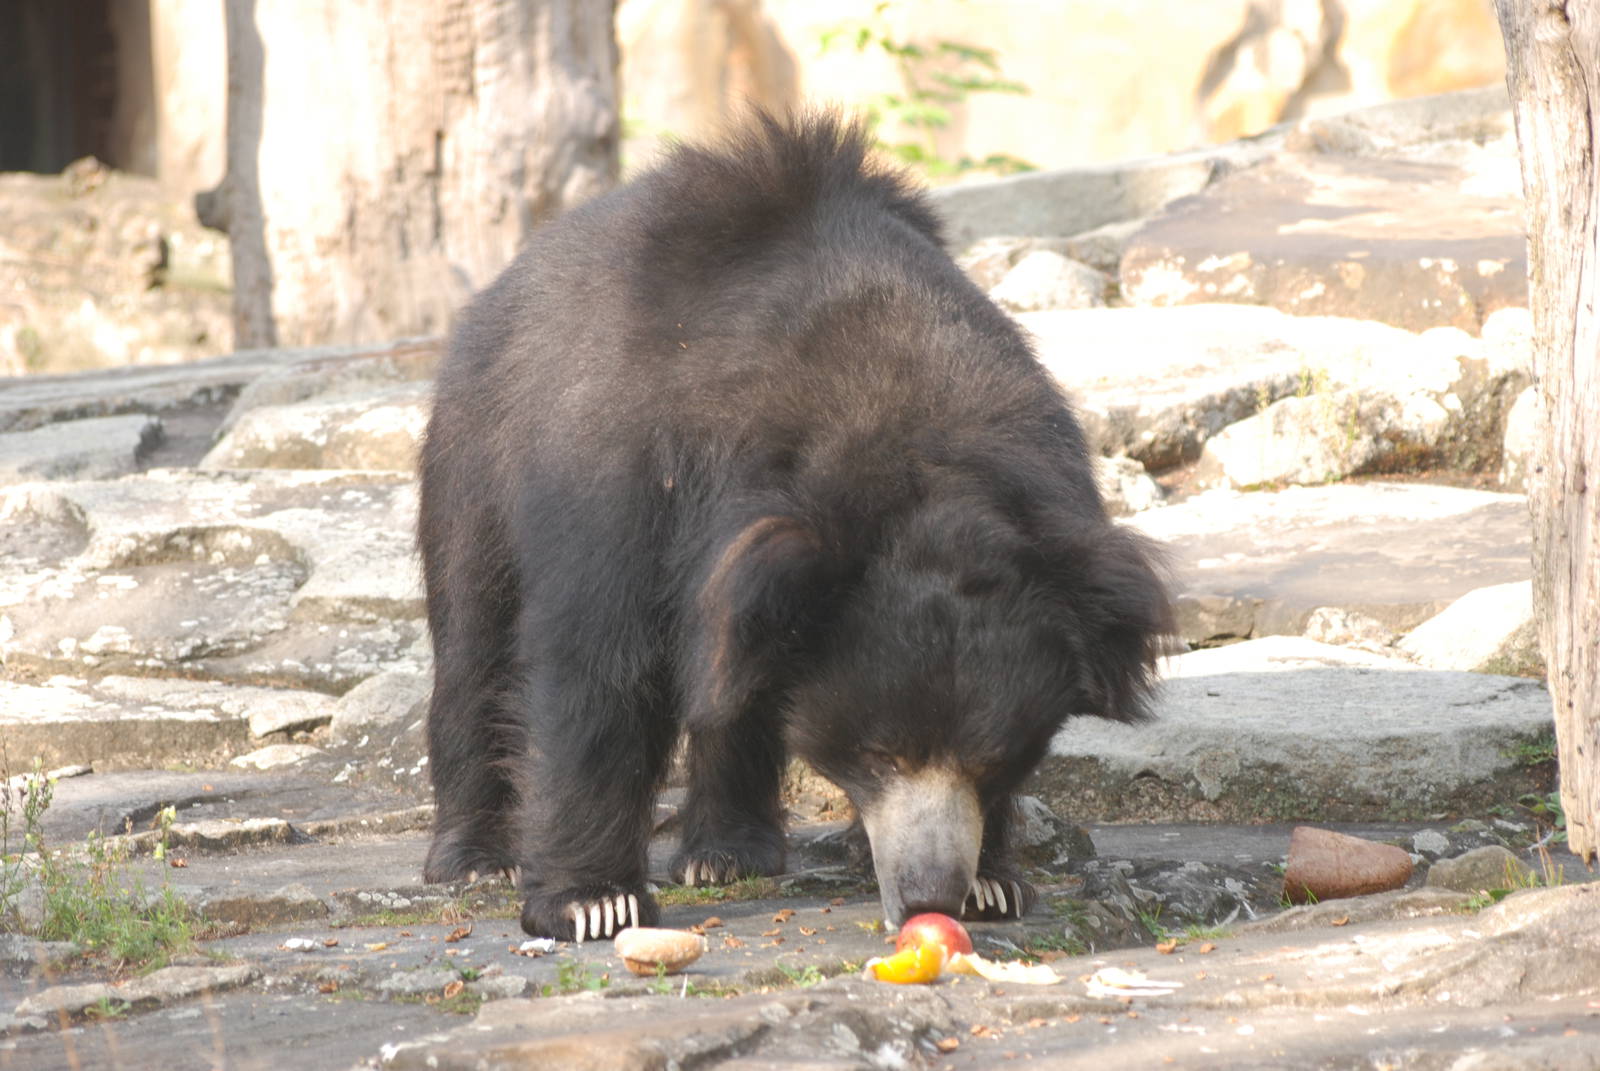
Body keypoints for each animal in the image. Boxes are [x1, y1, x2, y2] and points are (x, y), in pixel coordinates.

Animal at [418, 112, 1173, 941]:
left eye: (992, 758)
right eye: (878, 754)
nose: (930, 895)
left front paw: (996, 883)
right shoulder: (627, 470)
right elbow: (600, 658)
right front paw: (593, 903)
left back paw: (727, 852)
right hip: (476, 455)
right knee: (477, 644)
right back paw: (474, 858)